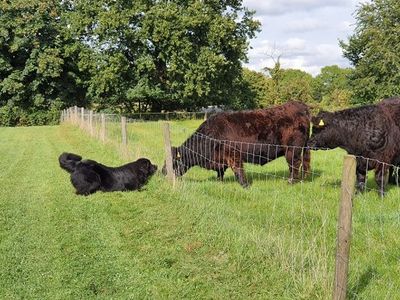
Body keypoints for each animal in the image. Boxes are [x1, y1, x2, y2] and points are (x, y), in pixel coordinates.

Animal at [161, 101, 310, 186]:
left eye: (172, 161)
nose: (163, 172)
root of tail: (298, 104)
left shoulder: (234, 155)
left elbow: (238, 170)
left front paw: (245, 185)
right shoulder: (220, 160)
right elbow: (220, 172)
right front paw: (219, 182)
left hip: (293, 149)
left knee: (295, 164)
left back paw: (291, 182)